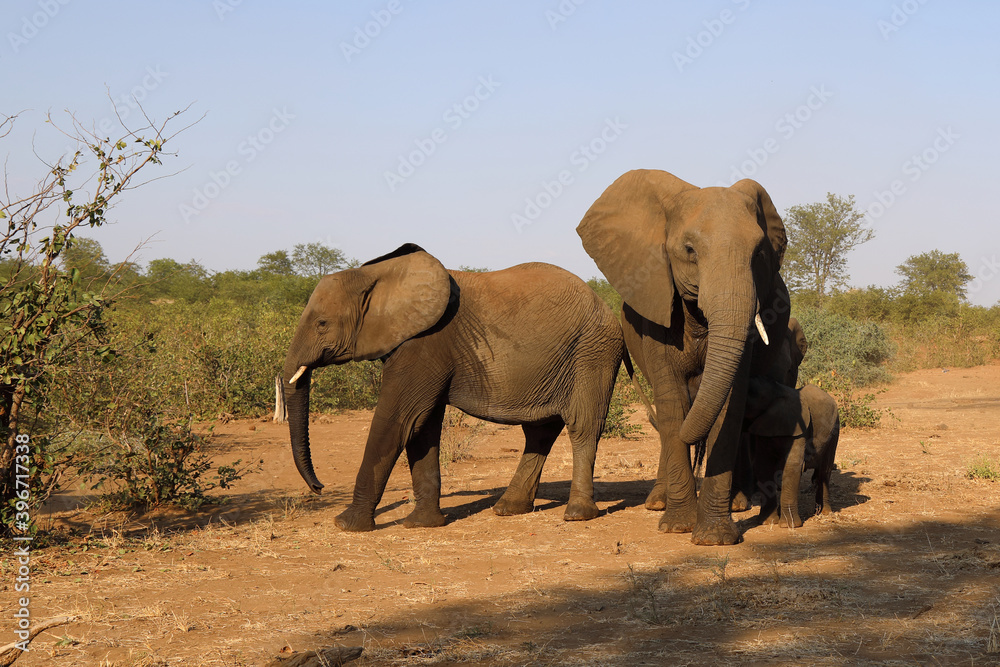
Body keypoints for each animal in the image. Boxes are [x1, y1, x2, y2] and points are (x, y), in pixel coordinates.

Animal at [282, 243, 627, 532]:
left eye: (322, 324)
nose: (319, 488)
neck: (378, 274)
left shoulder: (425, 343)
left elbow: (398, 422)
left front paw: (346, 525)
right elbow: (421, 427)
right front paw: (423, 524)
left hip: (592, 352)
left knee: (582, 427)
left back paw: (578, 514)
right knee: (539, 432)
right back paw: (508, 508)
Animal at [577, 169, 790, 545]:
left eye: (759, 253)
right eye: (689, 250)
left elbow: (728, 407)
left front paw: (714, 538)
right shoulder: (655, 312)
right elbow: (673, 400)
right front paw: (677, 527)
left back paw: (738, 503)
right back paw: (658, 502)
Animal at [744, 377, 840, 527]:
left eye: (749, 394)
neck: (776, 391)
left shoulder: (800, 429)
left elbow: (792, 465)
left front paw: (790, 526)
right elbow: (762, 466)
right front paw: (767, 522)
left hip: (835, 429)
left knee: (824, 471)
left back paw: (823, 513)